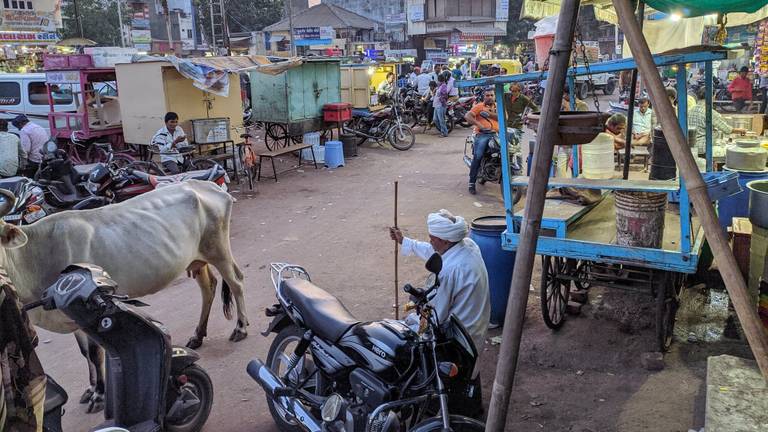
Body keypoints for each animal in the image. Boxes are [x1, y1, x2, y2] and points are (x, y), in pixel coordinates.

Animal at [0, 181, 248, 410]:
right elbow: (84, 353)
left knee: (236, 282)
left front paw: (99, 394)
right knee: (209, 287)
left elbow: (94, 354)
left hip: (218, 250)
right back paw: (198, 335)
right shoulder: (67, 316)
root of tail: (205, 184)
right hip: (197, 259)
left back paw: (240, 328)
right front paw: (91, 388)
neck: (33, 255)